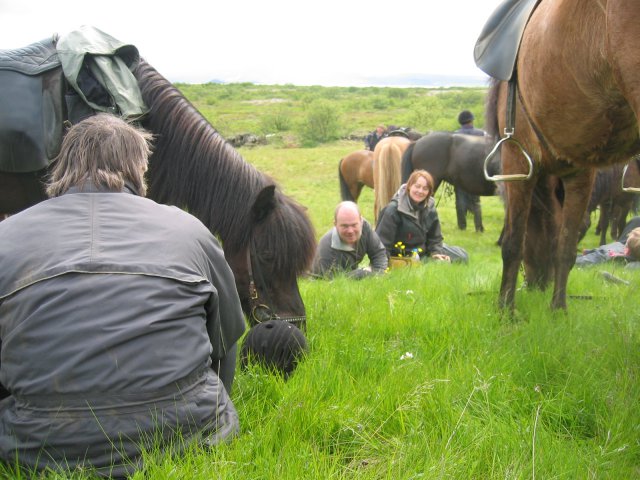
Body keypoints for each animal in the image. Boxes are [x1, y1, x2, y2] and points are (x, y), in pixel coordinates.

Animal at [484, 0, 640, 312]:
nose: (536, 283)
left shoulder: (517, 159)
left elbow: (513, 243)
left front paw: (506, 310)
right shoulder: (580, 172)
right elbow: (566, 247)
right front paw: (558, 310)